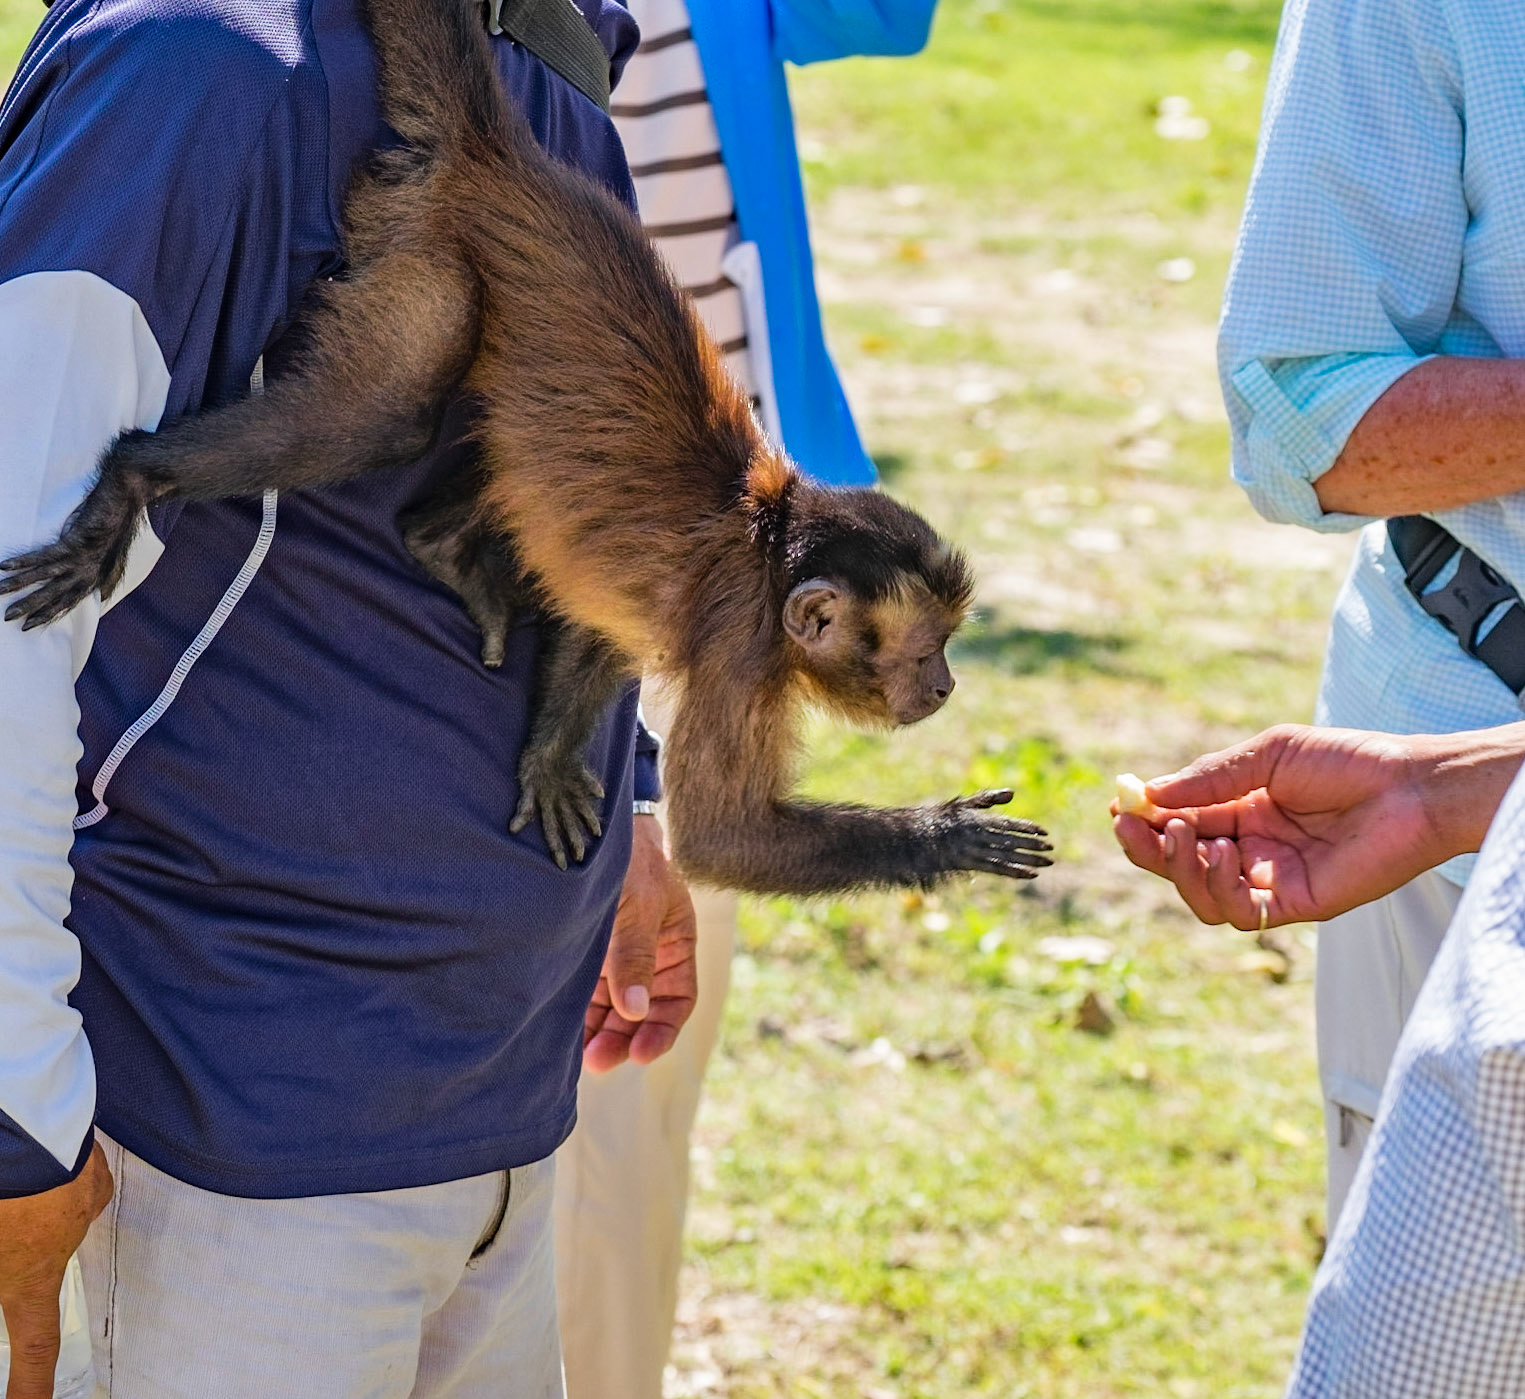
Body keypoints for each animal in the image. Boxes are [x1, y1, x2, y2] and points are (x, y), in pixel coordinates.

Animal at [0, 0, 1053, 896]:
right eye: (924, 650)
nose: (945, 684)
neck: (767, 540)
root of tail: (501, 157)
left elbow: (602, 612)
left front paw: (548, 757)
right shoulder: (741, 649)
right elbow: (721, 840)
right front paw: (947, 834)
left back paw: (439, 541)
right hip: (422, 246)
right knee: (386, 413)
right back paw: (137, 474)